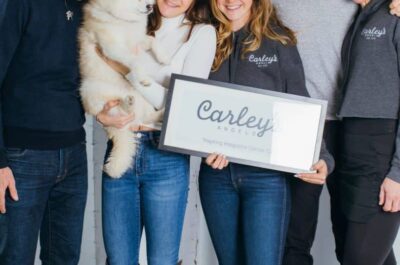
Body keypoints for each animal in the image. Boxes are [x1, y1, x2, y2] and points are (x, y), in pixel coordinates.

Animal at [78, 0, 166, 177]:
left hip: (142, 100)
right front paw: (142, 76)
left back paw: (160, 112)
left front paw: (163, 55)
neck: (123, 21)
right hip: (90, 90)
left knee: (145, 117)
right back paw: (127, 103)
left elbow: (152, 40)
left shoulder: (139, 40)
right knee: (119, 106)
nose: (150, 6)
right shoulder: (113, 48)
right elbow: (134, 60)